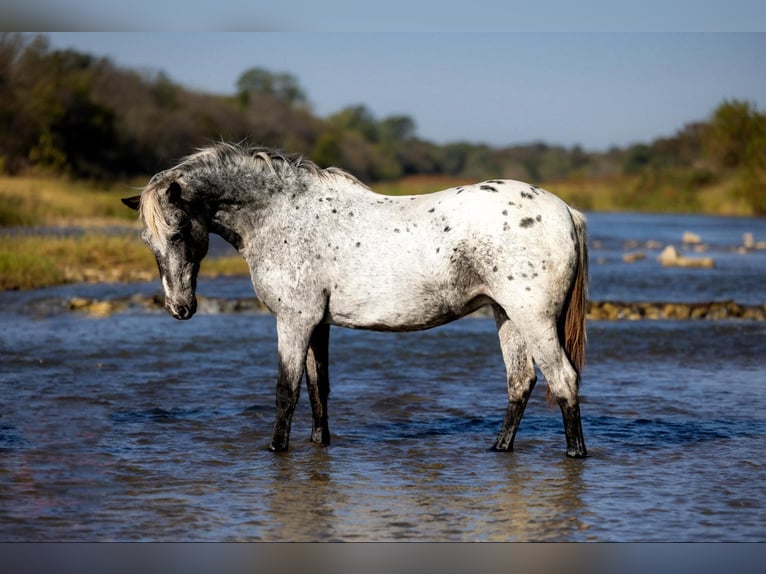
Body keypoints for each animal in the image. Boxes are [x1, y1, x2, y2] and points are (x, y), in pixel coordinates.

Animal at [122, 143, 589, 457]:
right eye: (147, 239)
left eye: (179, 232)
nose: (180, 308)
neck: (280, 215)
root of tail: (566, 211)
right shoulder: (317, 324)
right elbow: (317, 387)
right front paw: (319, 443)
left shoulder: (293, 320)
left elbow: (286, 389)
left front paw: (275, 448)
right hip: (506, 315)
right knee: (520, 381)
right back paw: (499, 447)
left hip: (533, 318)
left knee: (563, 380)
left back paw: (575, 453)